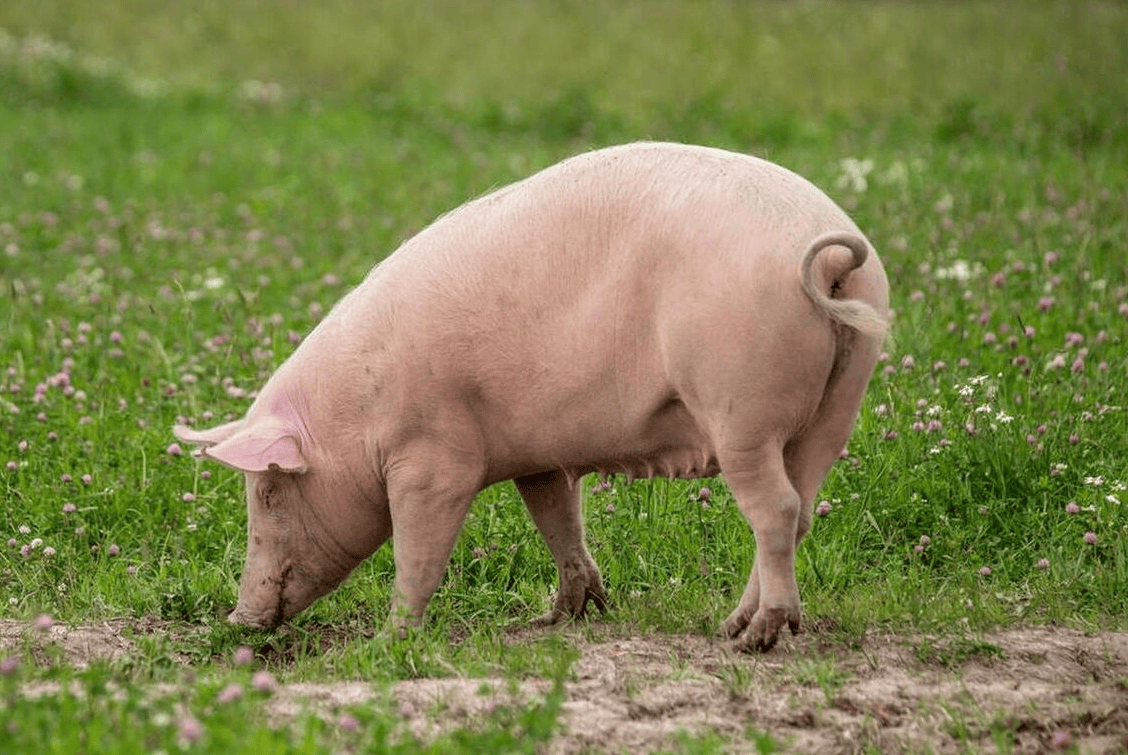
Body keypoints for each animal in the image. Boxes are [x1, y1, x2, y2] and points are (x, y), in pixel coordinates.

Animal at [171, 142, 884, 654]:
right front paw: (563, 617)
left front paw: (385, 642)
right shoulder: (539, 457)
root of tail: (827, 255)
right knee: (802, 509)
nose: (237, 619)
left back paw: (755, 639)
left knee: (776, 509)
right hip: (840, 404)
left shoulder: (432, 460)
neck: (357, 412)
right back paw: (733, 627)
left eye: (268, 490)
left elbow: (418, 552)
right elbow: (558, 521)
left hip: (740, 406)